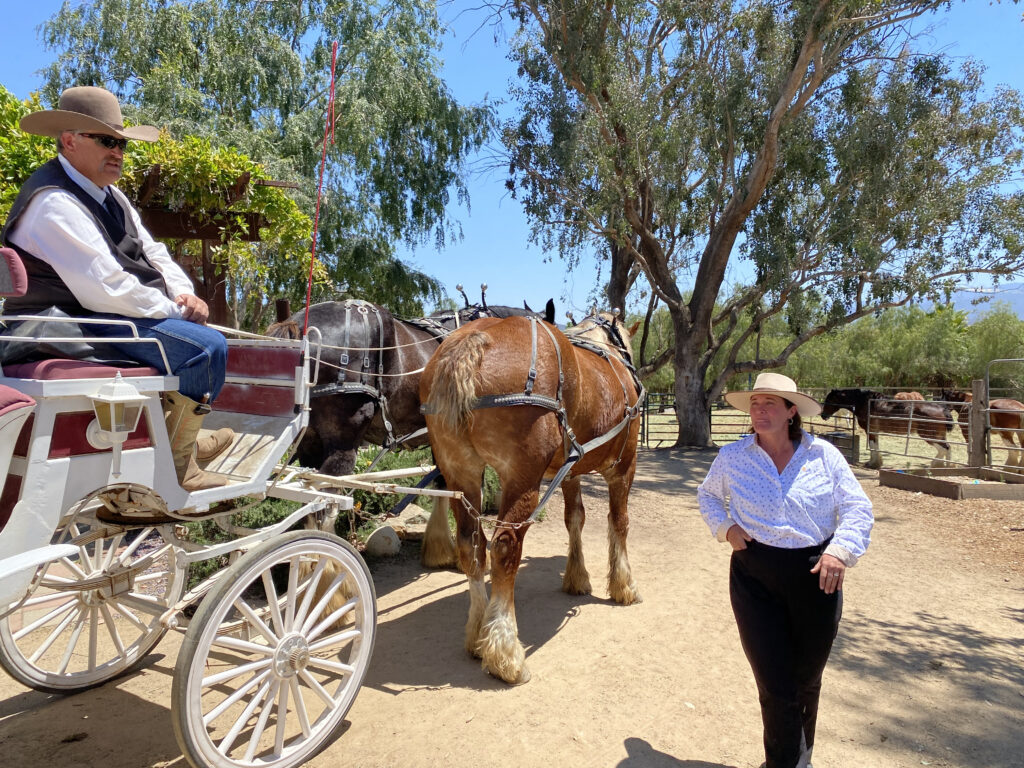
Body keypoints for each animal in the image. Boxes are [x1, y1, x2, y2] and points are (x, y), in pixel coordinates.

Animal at [419, 313, 643, 684]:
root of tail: (471, 340)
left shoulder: (571, 470)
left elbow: (575, 520)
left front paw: (576, 577)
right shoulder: (624, 466)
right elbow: (620, 523)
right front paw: (623, 584)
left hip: (460, 472)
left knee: (471, 545)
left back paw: (479, 633)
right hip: (521, 478)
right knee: (505, 545)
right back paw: (504, 651)